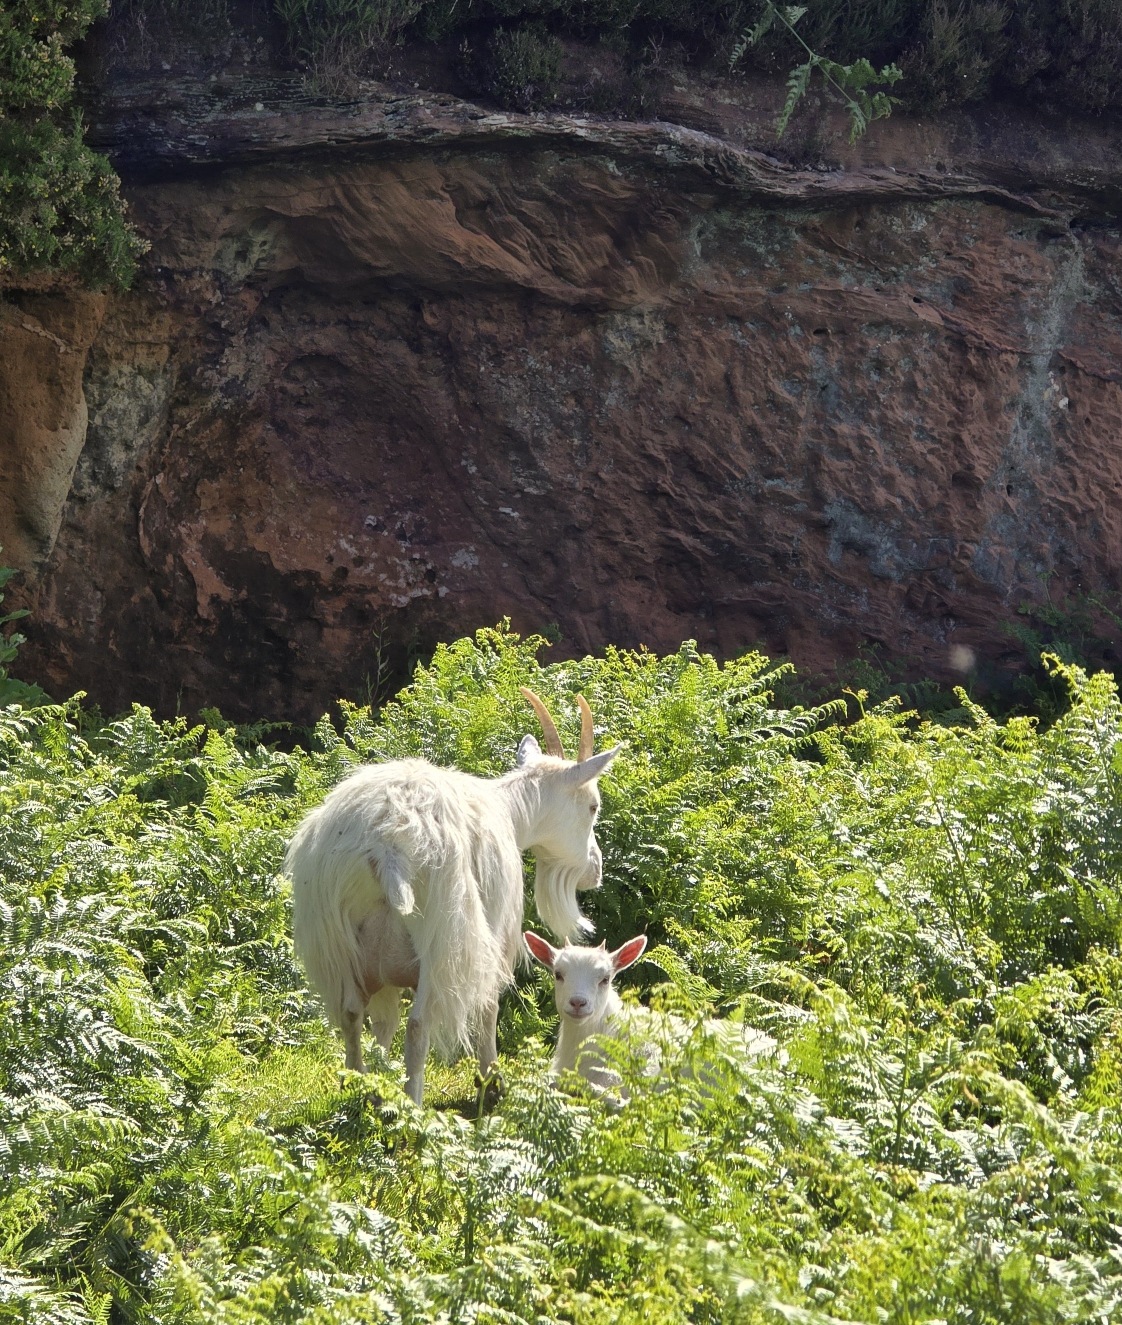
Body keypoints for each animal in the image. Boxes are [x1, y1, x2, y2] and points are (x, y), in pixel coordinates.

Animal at [285, 689, 621, 1105]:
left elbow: (382, 1025)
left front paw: (380, 1084)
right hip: (445, 936)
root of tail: (387, 843)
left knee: (350, 1014)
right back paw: (412, 1104)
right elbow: (489, 1006)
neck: (511, 814)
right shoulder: (496, 936)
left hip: (335, 937)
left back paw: (360, 1088)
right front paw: (492, 1081)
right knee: (419, 1023)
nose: (595, 869)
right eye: (593, 806)